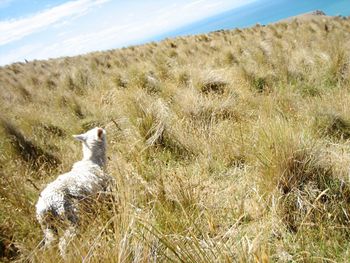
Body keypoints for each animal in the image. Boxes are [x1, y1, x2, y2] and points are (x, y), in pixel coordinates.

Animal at [35, 128, 113, 258]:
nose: (103, 128)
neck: (93, 160)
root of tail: (46, 205)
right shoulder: (104, 193)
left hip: (47, 226)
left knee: (51, 243)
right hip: (73, 218)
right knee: (64, 243)